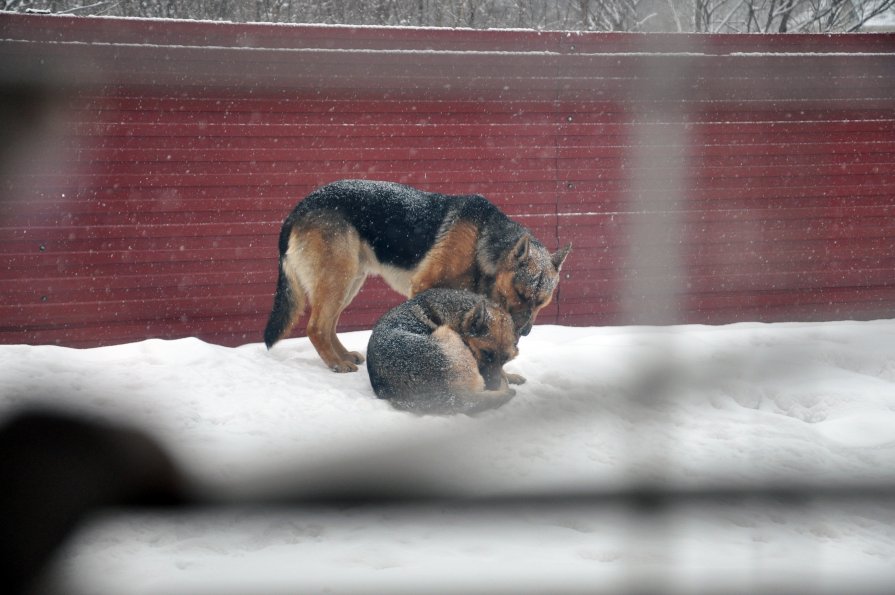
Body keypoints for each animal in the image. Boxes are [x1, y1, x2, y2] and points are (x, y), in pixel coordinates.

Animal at [262, 179, 572, 372]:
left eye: (542, 302)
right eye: (521, 294)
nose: (524, 332)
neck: (482, 243)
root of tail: (298, 208)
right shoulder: (424, 288)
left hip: (350, 281)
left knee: (327, 325)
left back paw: (343, 356)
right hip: (339, 277)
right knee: (316, 327)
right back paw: (336, 364)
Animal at [364, 288, 520, 414]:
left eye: (505, 360)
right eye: (485, 353)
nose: (494, 386)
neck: (460, 316)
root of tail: (455, 396)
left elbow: (502, 372)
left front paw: (511, 376)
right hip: (447, 334)